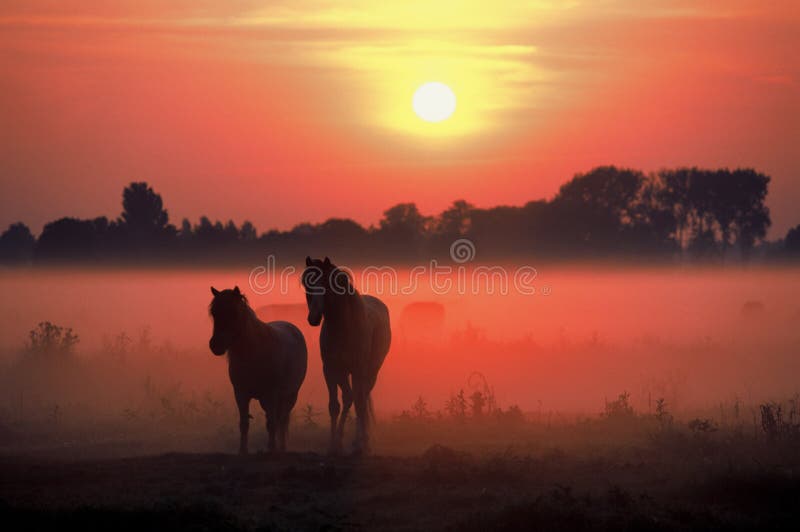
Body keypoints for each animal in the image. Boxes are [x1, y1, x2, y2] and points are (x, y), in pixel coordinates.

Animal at [209, 286, 310, 454]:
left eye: (234, 312)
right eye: (214, 313)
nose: (216, 345)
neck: (254, 352)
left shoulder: (271, 394)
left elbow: (272, 424)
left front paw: (271, 449)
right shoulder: (240, 393)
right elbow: (244, 423)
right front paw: (243, 450)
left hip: (290, 395)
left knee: (282, 419)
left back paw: (281, 448)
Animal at [300, 256, 390, 456]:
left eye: (326, 283)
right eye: (306, 284)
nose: (314, 317)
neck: (343, 327)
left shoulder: (358, 370)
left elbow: (359, 402)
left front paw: (360, 444)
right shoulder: (330, 369)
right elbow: (335, 405)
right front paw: (333, 444)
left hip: (370, 372)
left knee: (361, 397)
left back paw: (363, 440)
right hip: (344, 373)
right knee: (351, 397)